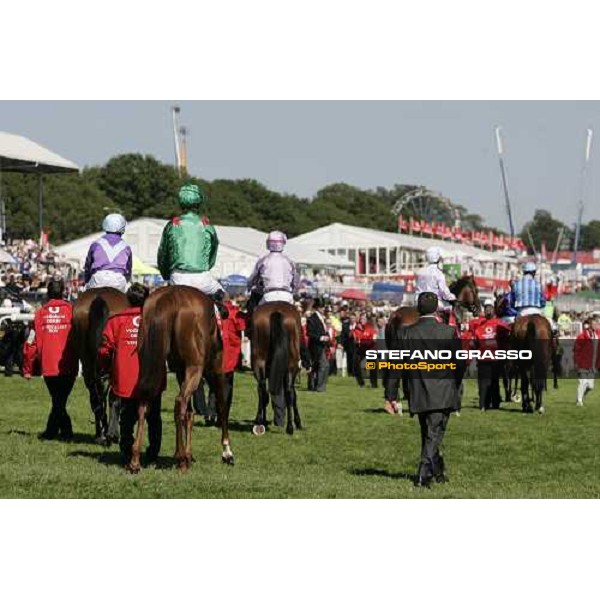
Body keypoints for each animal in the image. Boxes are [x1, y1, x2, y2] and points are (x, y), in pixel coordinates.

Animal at [72, 288, 129, 442]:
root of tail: (100, 298)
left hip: (87, 361)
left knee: (95, 396)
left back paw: (101, 434)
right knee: (112, 396)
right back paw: (112, 434)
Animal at [137, 286, 233, 474]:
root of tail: (169, 297)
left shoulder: (181, 372)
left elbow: (190, 414)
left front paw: (187, 454)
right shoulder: (215, 370)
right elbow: (222, 406)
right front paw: (227, 452)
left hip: (150, 365)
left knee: (145, 401)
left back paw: (134, 460)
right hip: (196, 369)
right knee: (180, 402)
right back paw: (181, 459)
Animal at [250, 300, 302, 436]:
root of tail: (276, 311)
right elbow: (294, 395)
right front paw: (298, 422)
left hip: (258, 362)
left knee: (263, 390)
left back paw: (260, 423)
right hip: (292, 365)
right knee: (289, 392)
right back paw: (289, 427)